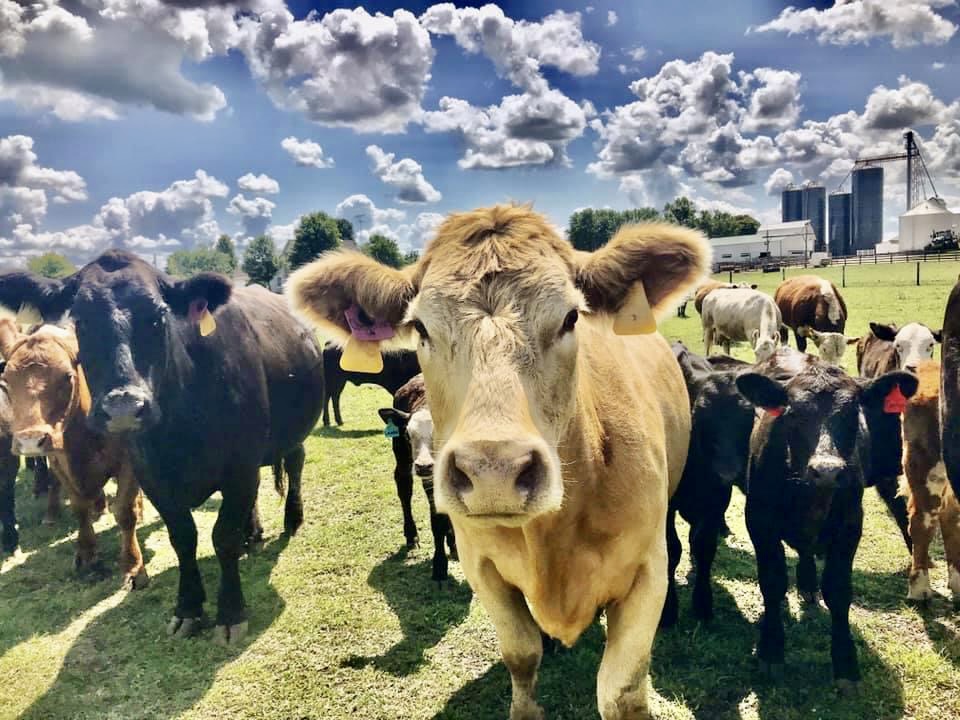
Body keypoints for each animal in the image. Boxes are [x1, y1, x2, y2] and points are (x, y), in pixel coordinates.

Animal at [0, 320, 147, 587]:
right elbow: (79, 507)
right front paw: (86, 553)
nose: (30, 441)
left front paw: (132, 565)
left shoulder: (130, 461)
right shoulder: (59, 462)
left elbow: (124, 510)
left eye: (67, 376)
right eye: (5, 383)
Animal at [378, 374, 457, 581]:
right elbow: (437, 520)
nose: (423, 466)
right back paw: (411, 535)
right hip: (402, 460)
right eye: (407, 434)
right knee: (404, 491)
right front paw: (439, 567)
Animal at [661, 342, 754, 627]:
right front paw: (668, 609)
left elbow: (703, 545)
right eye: (699, 415)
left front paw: (703, 602)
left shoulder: (716, 499)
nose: (729, 471)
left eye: (749, 417)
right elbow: (672, 548)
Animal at [736, 352, 917, 689]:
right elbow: (772, 581)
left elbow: (838, 590)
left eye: (853, 412)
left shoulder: (850, 526)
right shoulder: (759, 520)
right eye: (792, 413)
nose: (827, 470)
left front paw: (846, 663)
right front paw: (771, 649)